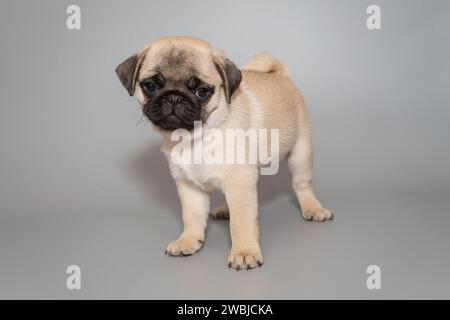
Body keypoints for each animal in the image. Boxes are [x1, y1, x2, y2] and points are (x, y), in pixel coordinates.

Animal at [114, 35, 332, 270]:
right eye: (151, 86)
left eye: (202, 91)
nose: (174, 97)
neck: (194, 139)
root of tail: (278, 74)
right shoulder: (190, 187)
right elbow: (191, 217)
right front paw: (189, 241)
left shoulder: (240, 181)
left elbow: (241, 222)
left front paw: (244, 252)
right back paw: (225, 209)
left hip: (301, 152)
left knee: (301, 184)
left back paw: (313, 209)